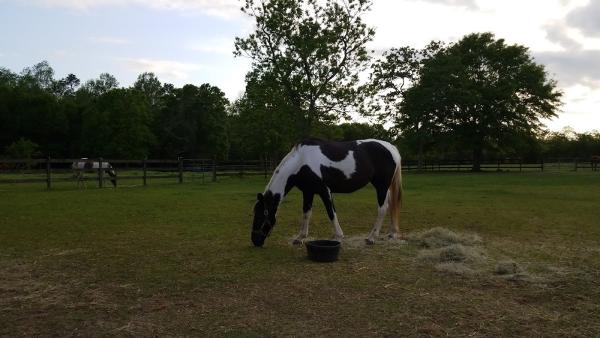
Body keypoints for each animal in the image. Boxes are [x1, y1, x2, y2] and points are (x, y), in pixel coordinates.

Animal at [251, 139, 400, 247]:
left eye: (259, 216)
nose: (255, 241)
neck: (301, 162)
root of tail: (391, 147)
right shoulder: (308, 191)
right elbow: (306, 213)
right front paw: (300, 238)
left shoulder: (325, 191)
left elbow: (331, 213)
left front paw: (339, 237)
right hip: (385, 188)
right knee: (391, 205)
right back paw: (391, 233)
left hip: (381, 186)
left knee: (382, 209)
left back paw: (371, 238)